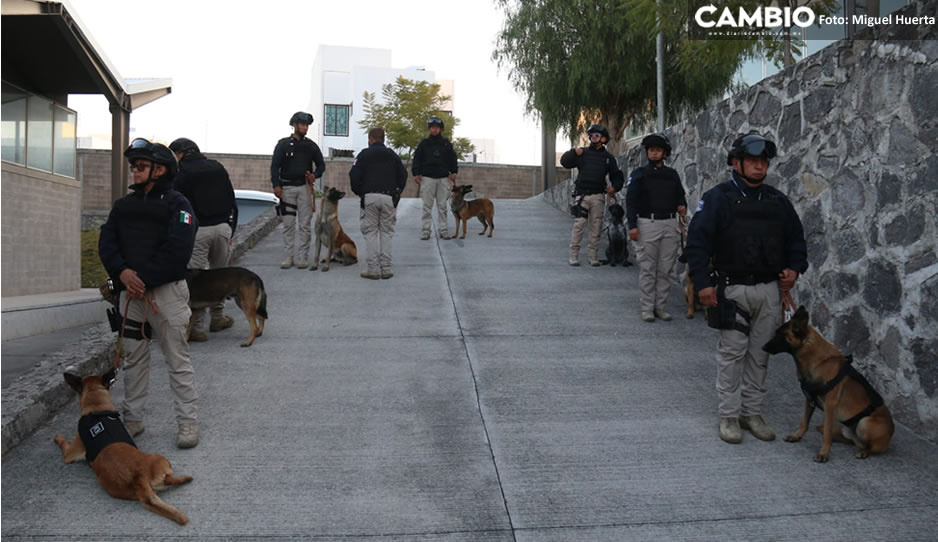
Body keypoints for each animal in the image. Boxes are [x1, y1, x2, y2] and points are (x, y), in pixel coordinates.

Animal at [54, 372, 192, 524]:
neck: (96, 408)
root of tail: (139, 476)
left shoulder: (70, 454)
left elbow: (63, 442)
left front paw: (58, 437)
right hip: (159, 461)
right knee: (168, 479)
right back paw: (185, 478)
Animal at [760, 306, 892, 464]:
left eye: (780, 336)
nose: (763, 347)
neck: (817, 361)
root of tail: (890, 434)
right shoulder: (809, 399)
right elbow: (804, 422)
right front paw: (797, 436)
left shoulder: (830, 406)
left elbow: (827, 435)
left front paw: (823, 453)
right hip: (846, 428)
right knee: (850, 441)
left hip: (865, 423)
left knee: (870, 447)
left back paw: (864, 452)